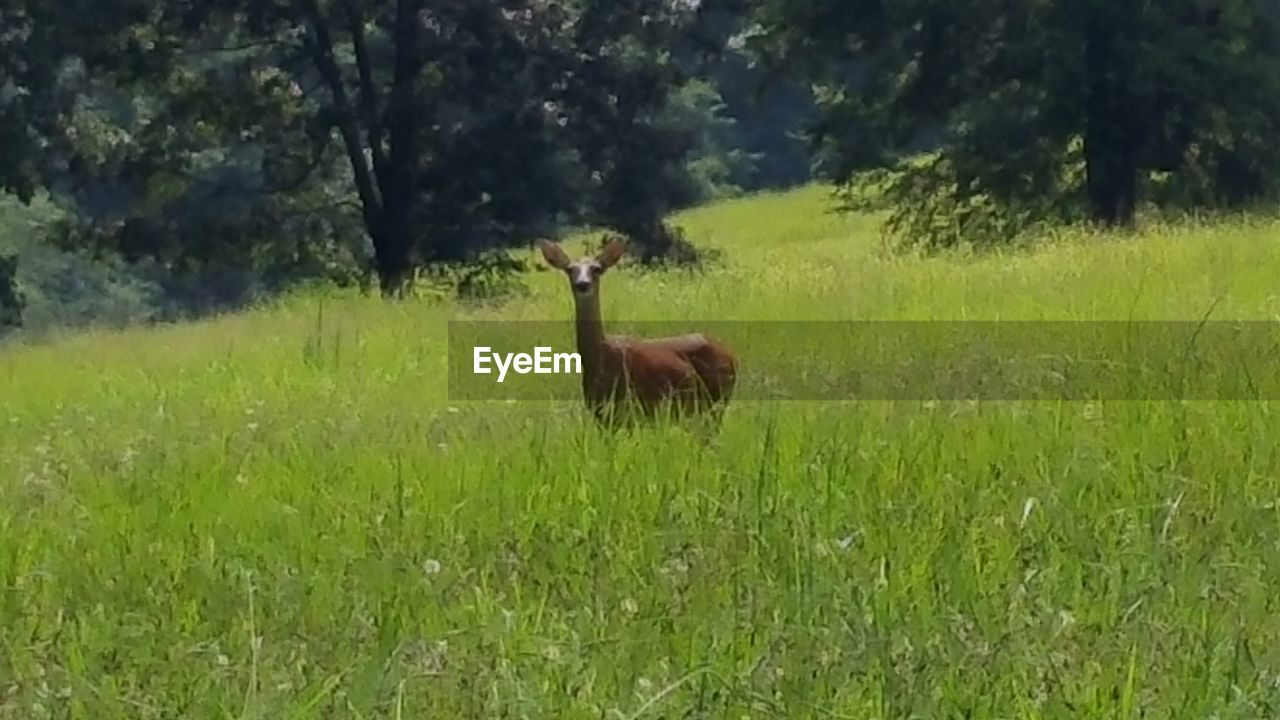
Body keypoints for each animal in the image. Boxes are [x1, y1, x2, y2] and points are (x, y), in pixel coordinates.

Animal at [535, 235, 737, 427]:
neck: (600, 360)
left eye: (597, 269)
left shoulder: (630, 408)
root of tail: (731, 356)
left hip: (717, 399)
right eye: (570, 270)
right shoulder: (600, 414)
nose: (582, 284)